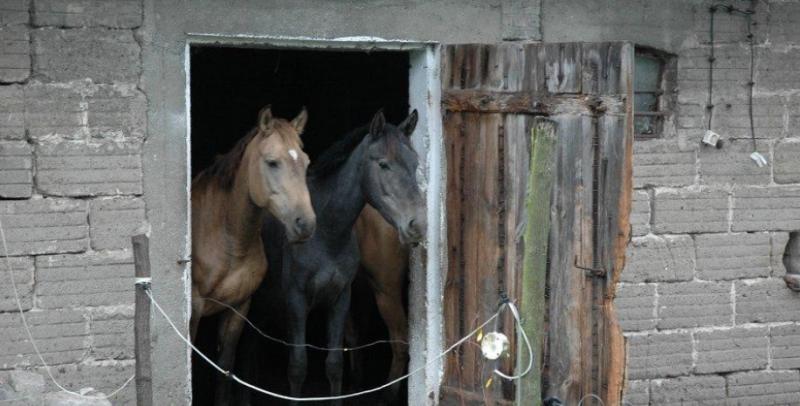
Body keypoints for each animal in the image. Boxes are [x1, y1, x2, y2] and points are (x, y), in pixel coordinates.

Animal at [191, 107, 316, 406]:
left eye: (306, 162)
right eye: (272, 162)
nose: (305, 225)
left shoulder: (239, 308)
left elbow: (224, 368)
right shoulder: (194, 308)